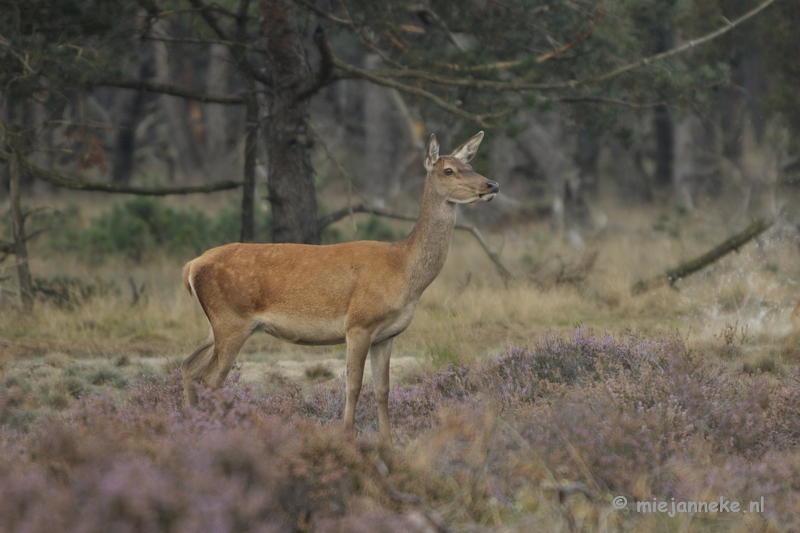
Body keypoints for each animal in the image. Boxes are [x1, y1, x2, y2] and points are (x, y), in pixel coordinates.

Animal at [182, 131, 500, 442]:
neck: (403, 270)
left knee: (189, 366)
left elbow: (383, 389)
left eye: (470, 165)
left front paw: (387, 443)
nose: (492, 184)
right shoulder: (359, 323)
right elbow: (354, 385)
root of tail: (191, 266)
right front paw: (347, 437)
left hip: (217, 324)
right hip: (232, 320)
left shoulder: (387, 334)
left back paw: (193, 427)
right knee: (211, 379)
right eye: (448, 170)